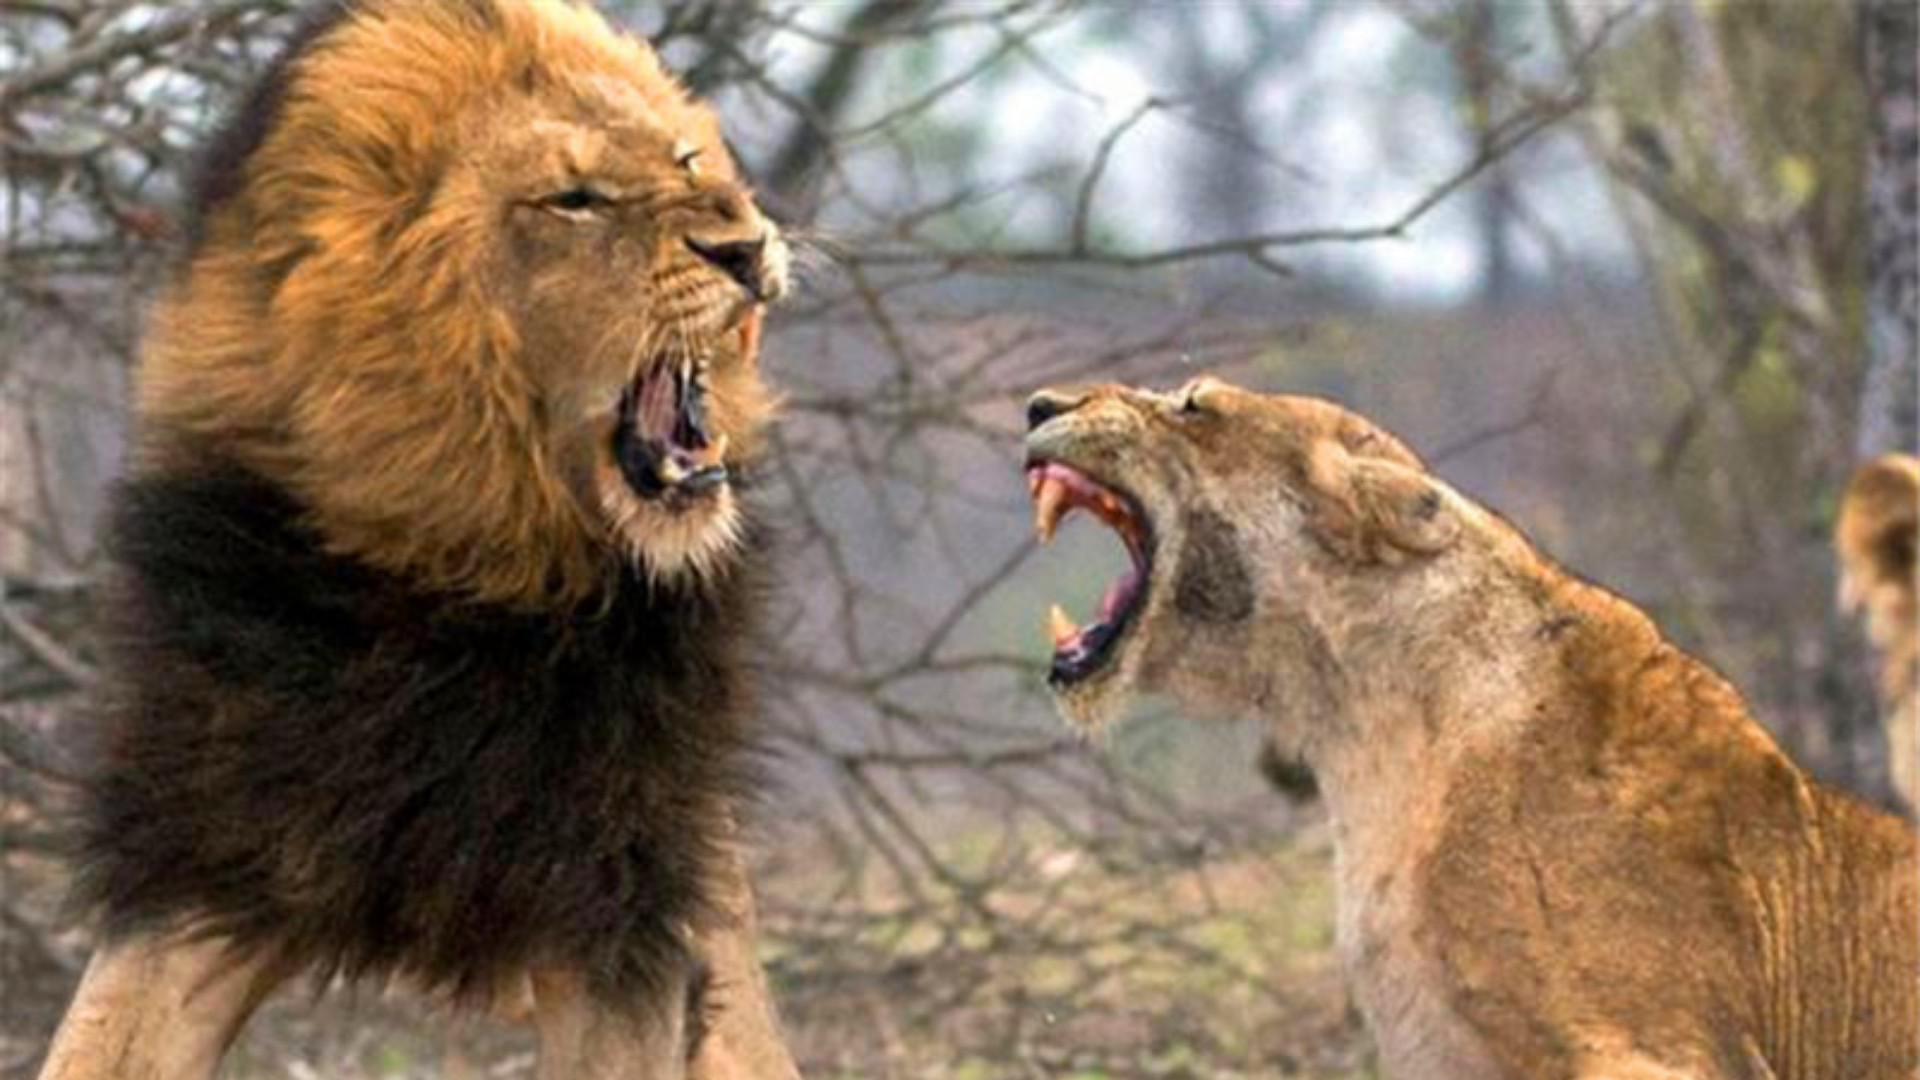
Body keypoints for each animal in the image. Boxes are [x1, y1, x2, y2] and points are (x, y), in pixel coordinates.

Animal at [39, 2, 802, 1076]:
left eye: (690, 159)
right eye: (574, 199)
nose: (745, 245)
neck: (461, 577)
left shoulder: (633, 923)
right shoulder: (189, 876)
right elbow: (93, 1042)